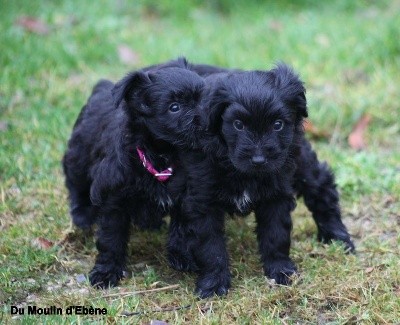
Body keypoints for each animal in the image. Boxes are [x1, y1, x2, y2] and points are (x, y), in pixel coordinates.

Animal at [64, 59, 206, 288]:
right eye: (174, 107)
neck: (160, 156)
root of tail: (100, 89)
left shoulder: (184, 195)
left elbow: (182, 227)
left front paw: (181, 255)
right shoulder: (112, 202)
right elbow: (110, 240)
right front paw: (106, 272)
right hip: (78, 155)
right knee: (75, 184)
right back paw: (81, 215)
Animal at [167, 64, 354, 298]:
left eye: (278, 124)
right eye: (238, 124)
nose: (258, 160)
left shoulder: (276, 195)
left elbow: (276, 235)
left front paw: (281, 271)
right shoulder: (202, 200)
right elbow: (210, 245)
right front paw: (213, 283)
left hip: (301, 158)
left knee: (321, 188)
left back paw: (337, 237)